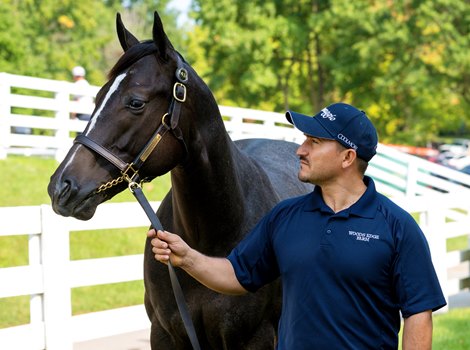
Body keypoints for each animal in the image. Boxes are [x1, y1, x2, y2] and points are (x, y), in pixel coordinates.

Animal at [47, 11, 312, 350]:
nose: (61, 186)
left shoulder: (258, 338)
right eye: (97, 97)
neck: (210, 242)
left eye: (136, 102)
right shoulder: (164, 333)